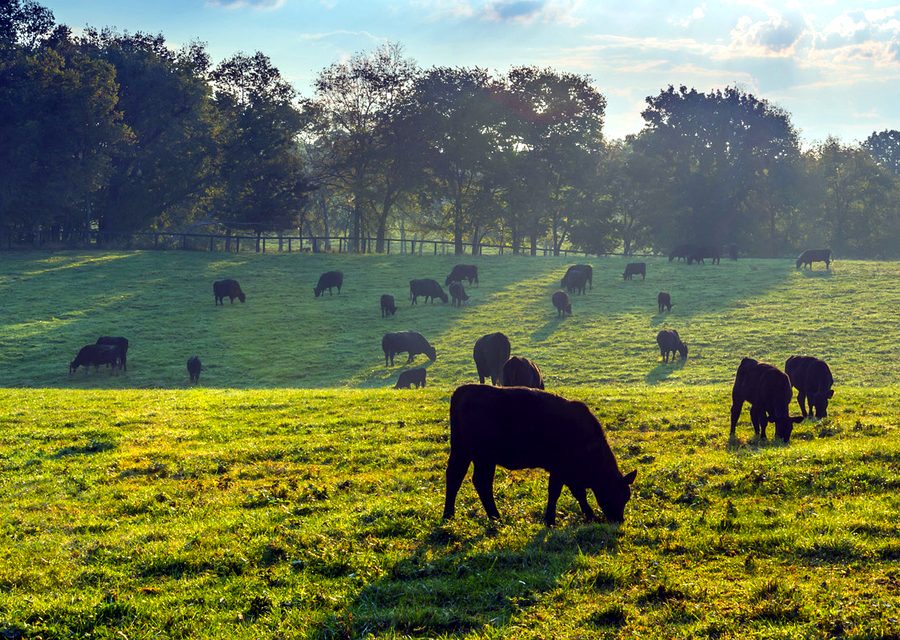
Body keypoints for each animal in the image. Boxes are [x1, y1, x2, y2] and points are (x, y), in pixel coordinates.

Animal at [442, 385, 637, 525]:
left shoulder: (566, 472)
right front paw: (554, 520)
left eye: (627, 496)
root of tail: (463, 390)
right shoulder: (561, 469)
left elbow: (573, 492)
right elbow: (563, 492)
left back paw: (462, 516)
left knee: (467, 479)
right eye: (615, 493)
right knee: (469, 480)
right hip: (477, 455)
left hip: (471, 455)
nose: (619, 520)